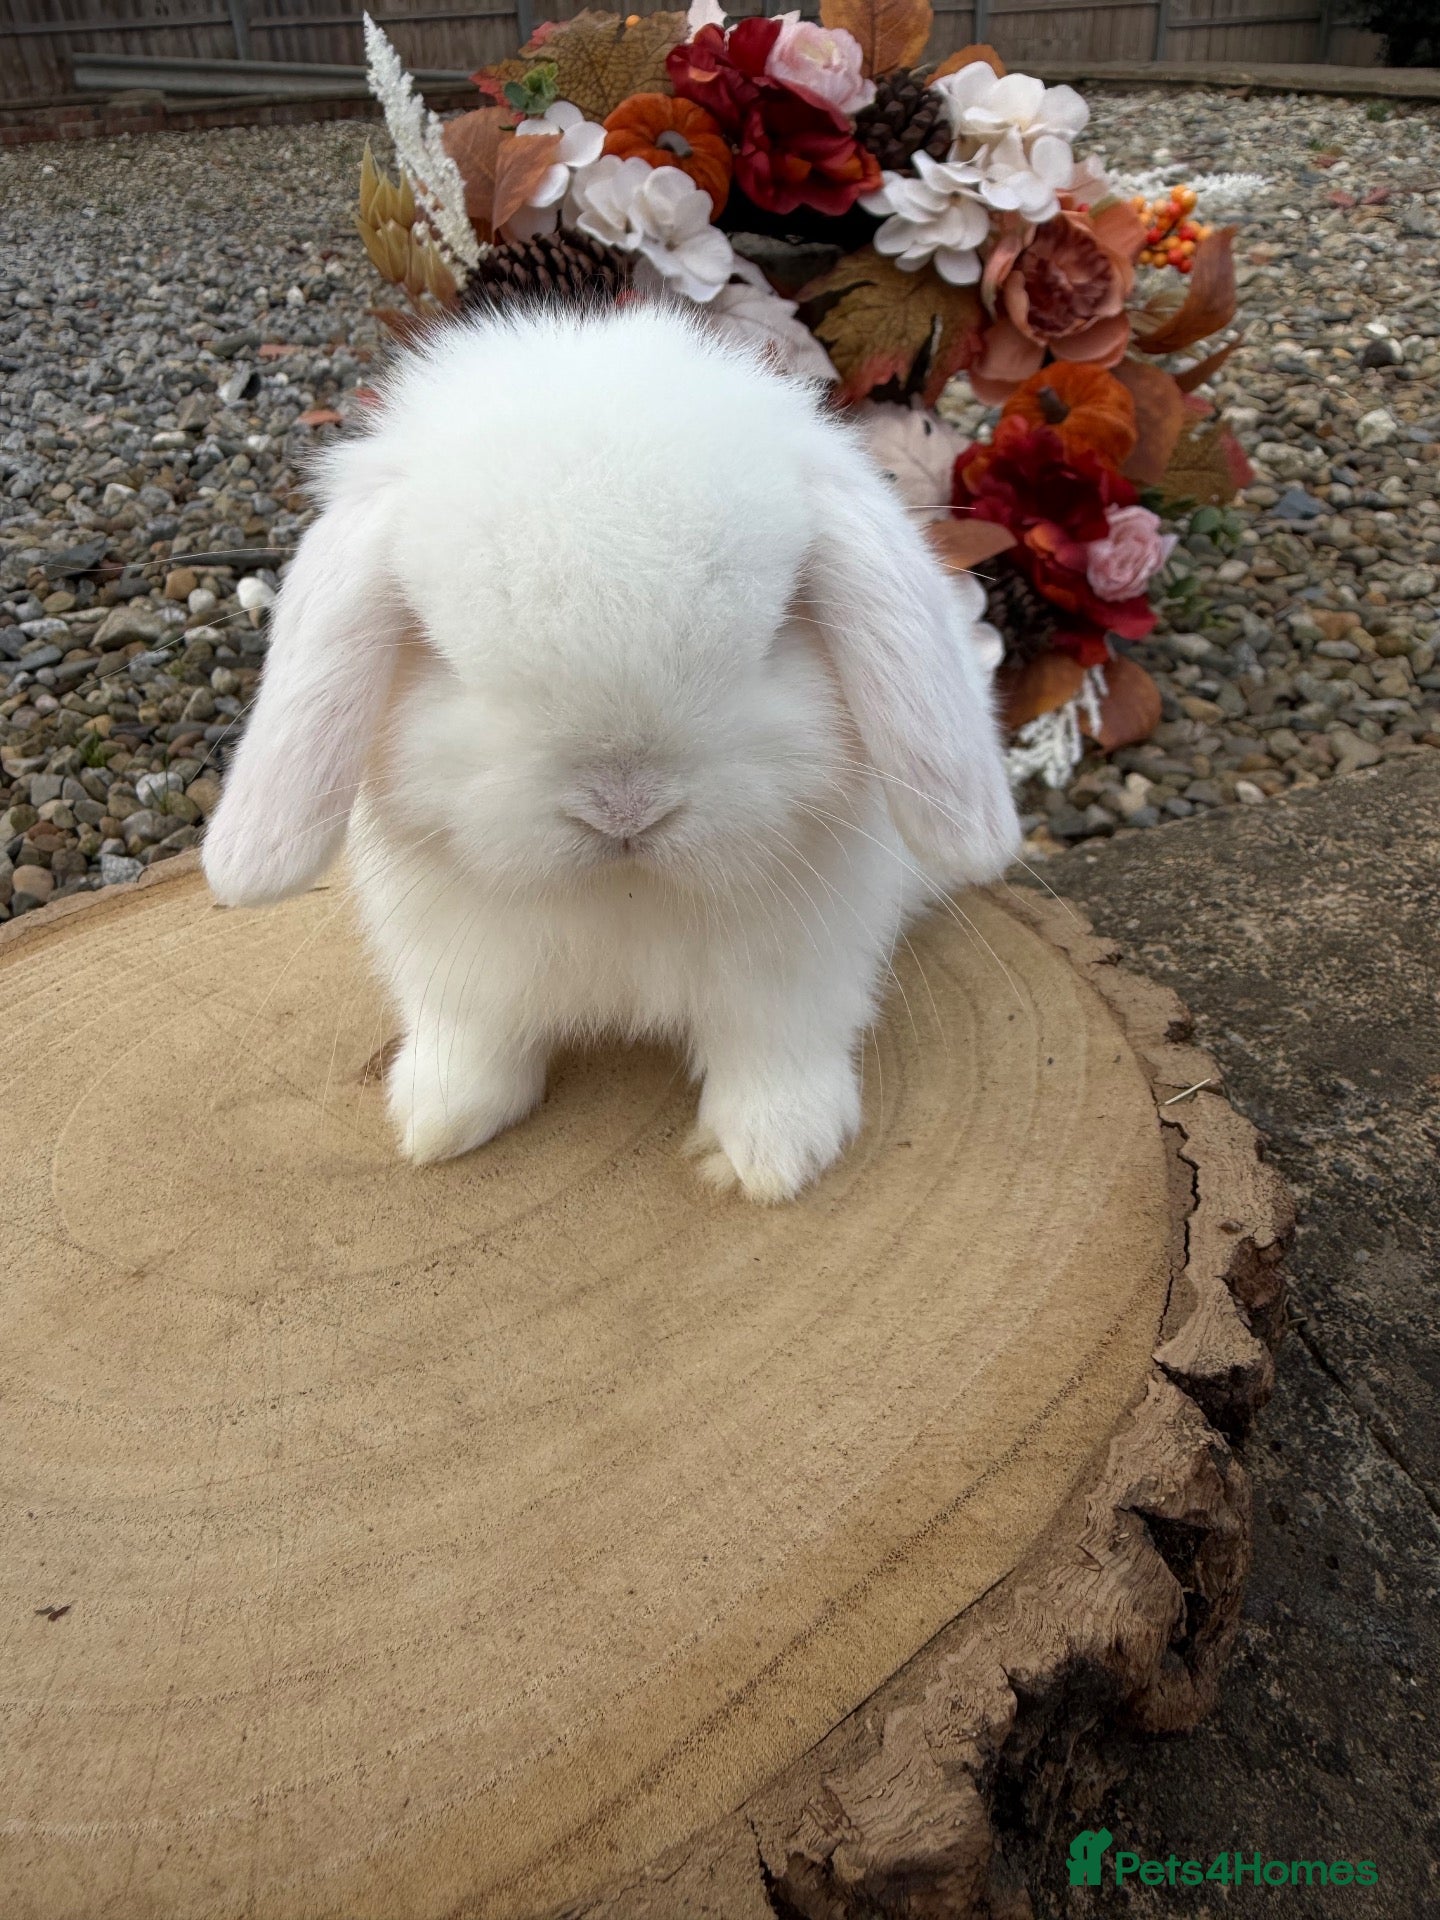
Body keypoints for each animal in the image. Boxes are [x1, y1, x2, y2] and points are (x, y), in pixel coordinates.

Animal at [202, 301, 1020, 1201]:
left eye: (775, 633)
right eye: (444, 653)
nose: (624, 808)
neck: (624, 896)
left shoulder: (796, 976)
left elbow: (773, 1055)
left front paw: (767, 1160)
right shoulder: (458, 972)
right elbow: (476, 1041)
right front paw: (438, 1123)